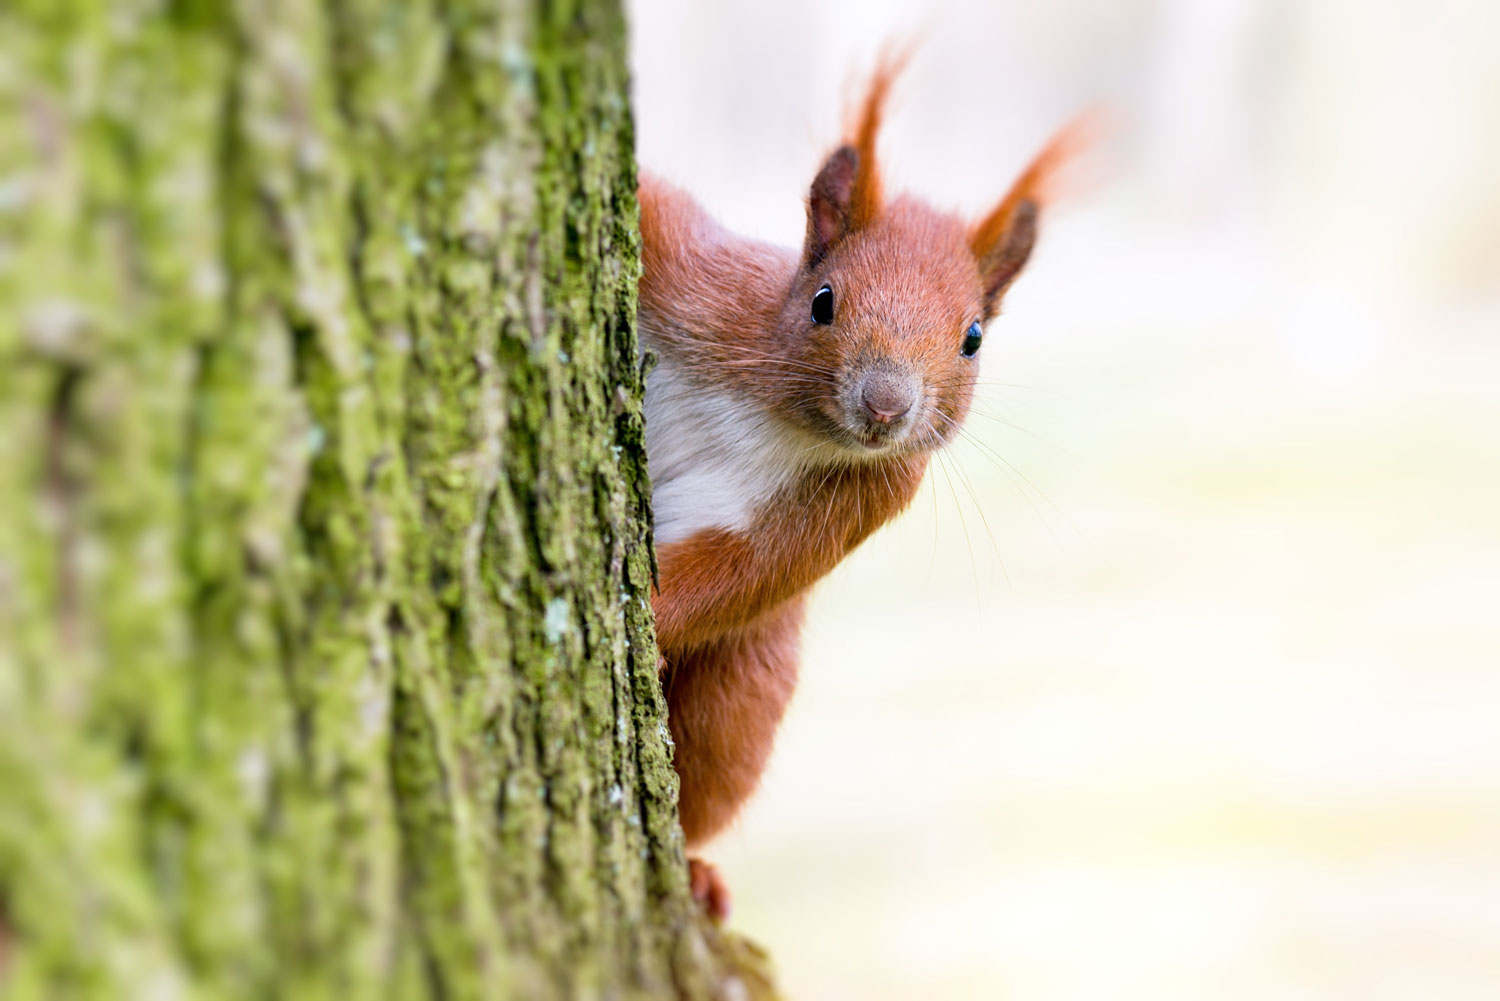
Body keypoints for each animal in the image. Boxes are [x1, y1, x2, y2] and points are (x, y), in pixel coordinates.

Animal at [636, 60, 1080, 924]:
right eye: (823, 300)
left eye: (973, 338)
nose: (886, 406)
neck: (780, 412)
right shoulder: (703, 281)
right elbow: (651, 208)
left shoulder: (858, 500)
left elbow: (741, 575)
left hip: (742, 696)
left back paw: (697, 869)